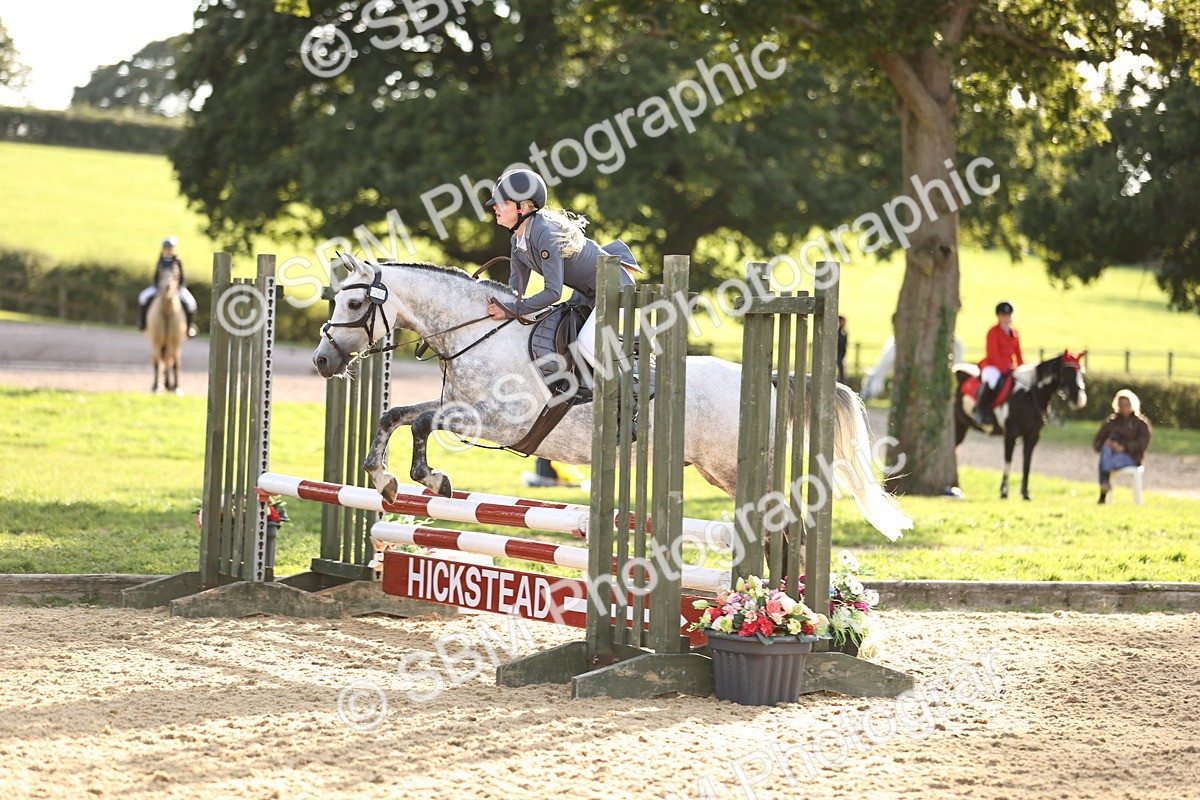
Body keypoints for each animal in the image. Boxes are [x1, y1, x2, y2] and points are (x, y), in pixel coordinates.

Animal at [145, 260, 187, 394]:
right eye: (160, 272)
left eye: (176, 273)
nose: (167, 287)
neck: (167, 311)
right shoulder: (156, 341)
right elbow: (157, 363)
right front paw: (156, 387)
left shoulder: (176, 341)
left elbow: (176, 363)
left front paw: (176, 387)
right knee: (162, 360)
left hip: (170, 344)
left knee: (169, 360)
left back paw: (169, 384)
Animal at [311, 255, 913, 543]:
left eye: (355, 303)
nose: (322, 361)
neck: (479, 331)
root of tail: (765, 379)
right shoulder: (465, 413)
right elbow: (401, 416)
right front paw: (401, 480)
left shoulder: (498, 422)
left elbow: (413, 420)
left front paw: (410, 478)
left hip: (737, 468)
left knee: (778, 517)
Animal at [953, 351, 1087, 500]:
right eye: (1067, 372)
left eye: (1082, 372)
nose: (1080, 400)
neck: (1030, 395)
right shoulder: (1011, 434)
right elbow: (1008, 460)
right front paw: (1004, 492)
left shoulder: (1033, 435)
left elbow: (1027, 462)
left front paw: (1025, 493)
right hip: (957, 427)